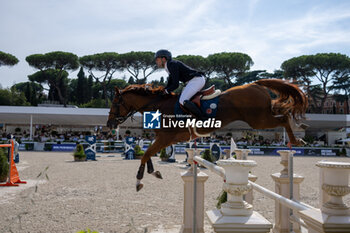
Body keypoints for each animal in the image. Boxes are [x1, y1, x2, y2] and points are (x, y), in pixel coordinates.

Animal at [106, 78, 306, 191]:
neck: (158, 105)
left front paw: (139, 181)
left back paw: (296, 140)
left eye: (115, 103)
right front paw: (153, 172)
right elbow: (148, 154)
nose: (109, 124)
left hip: (259, 120)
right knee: (283, 114)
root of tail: (255, 84)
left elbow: (145, 154)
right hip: (261, 118)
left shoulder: (165, 137)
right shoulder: (167, 139)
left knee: (284, 118)